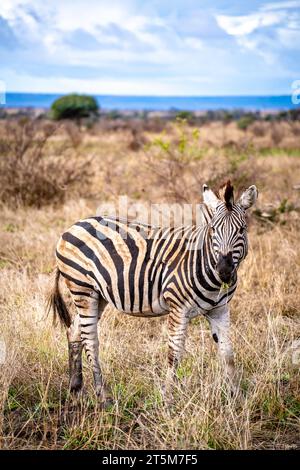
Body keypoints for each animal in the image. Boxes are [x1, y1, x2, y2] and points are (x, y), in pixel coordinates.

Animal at [47, 181, 258, 404]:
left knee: (74, 331)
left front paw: (237, 399)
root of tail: (75, 225)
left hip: (98, 295)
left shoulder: (220, 309)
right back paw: (103, 396)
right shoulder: (178, 309)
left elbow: (228, 354)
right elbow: (174, 355)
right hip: (82, 289)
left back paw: (76, 389)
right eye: (213, 230)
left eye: (242, 229)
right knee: (90, 340)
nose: (224, 270)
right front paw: (167, 400)